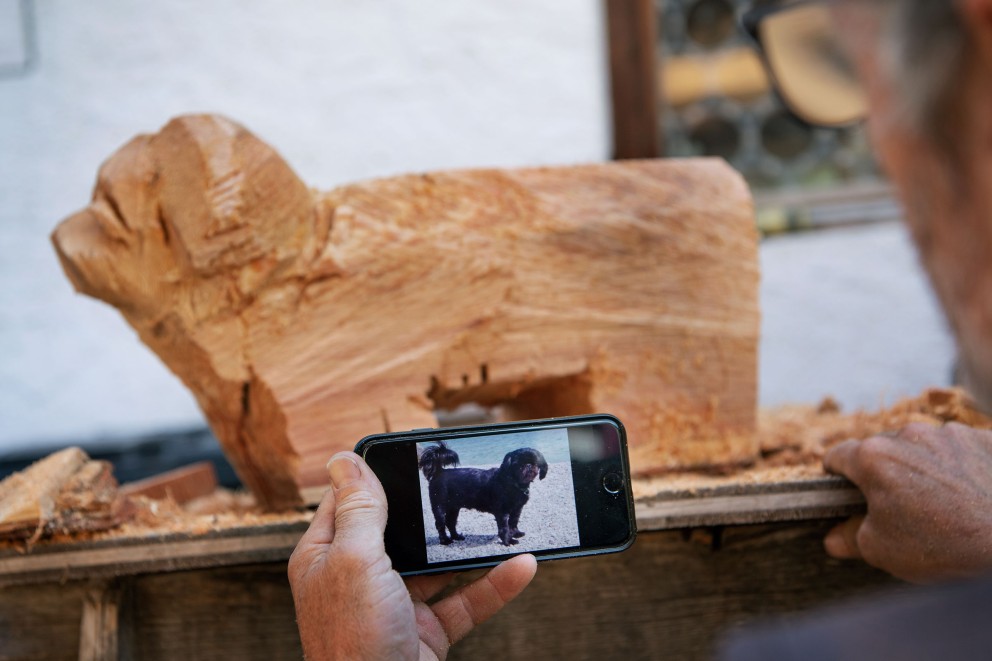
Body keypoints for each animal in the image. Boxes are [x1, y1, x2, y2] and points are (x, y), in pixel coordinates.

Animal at [414, 440, 548, 544]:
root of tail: (439, 472)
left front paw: (515, 533)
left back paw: (456, 537)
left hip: (454, 508)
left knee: (450, 522)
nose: (528, 465)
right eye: (517, 464)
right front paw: (508, 541)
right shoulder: (502, 512)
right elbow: (504, 527)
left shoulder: (517, 509)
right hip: (439, 506)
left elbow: (513, 522)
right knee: (441, 524)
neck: (512, 483)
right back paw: (445, 540)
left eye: (534, 461)